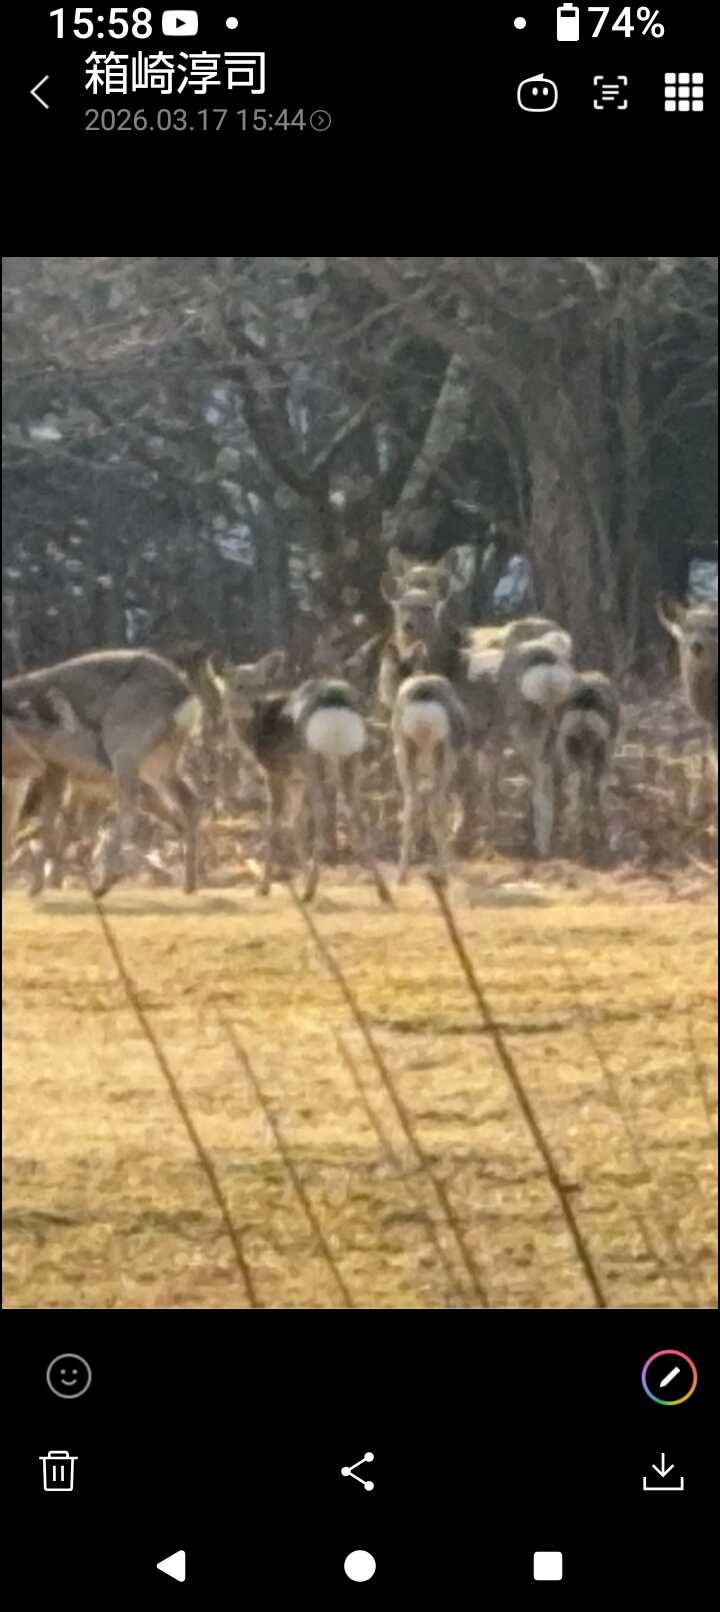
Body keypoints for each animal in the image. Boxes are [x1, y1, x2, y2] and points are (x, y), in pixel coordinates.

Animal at [2, 648, 203, 896]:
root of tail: (185, 695)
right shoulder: (21, 775)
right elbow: (12, 817)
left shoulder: (55, 766)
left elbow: (49, 819)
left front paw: (40, 885)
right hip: (158, 762)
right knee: (189, 802)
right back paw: (189, 885)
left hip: (124, 749)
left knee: (131, 806)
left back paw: (105, 880)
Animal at [211, 651, 391, 905]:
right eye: (238, 685)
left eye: (261, 684)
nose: (255, 704)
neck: (257, 732)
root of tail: (335, 700)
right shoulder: (296, 781)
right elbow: (296, 824)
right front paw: (304, 876)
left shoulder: (275, 771)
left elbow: (275, 825)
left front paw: (263, 887)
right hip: (350, 756)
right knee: (358, 814)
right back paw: (383, 890)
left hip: (311, 756)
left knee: (323, 813)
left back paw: (309, 889)